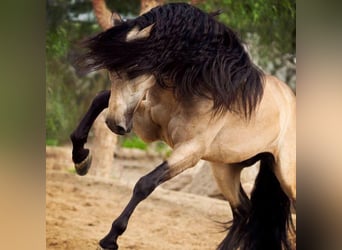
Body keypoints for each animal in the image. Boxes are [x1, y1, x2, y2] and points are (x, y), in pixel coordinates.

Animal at [69, 2, 294, 250]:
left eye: (135, 68)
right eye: (110, 69)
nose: (114, 124)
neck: (201, 85)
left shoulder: (190, 151)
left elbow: (145, 183)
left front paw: (111, 238)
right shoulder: (148, 126)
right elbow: (100, 98)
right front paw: (81, 159)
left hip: (287, 178)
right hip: (225, 169)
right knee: (243, 211)